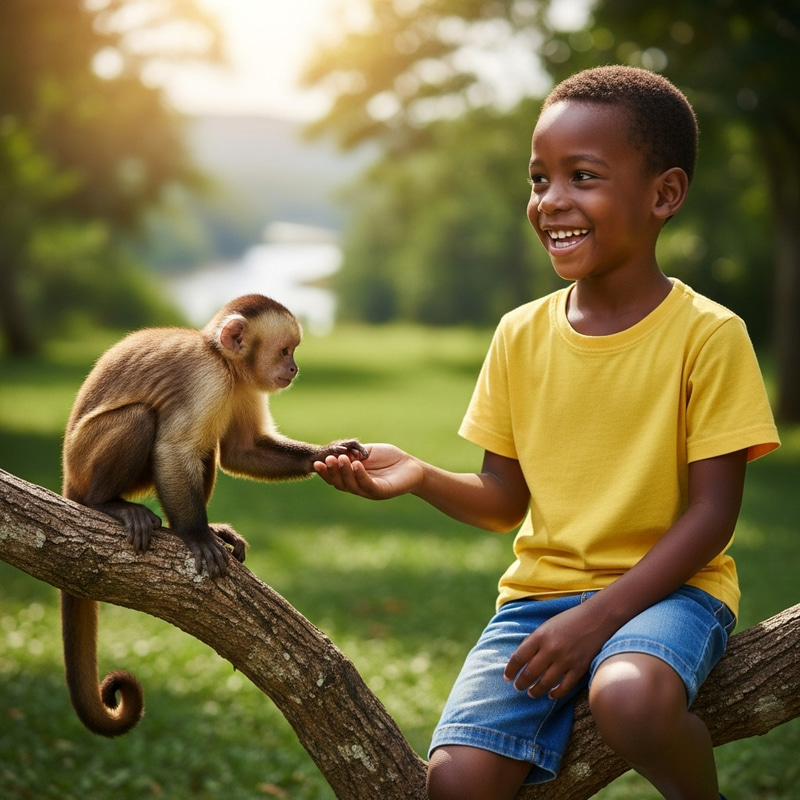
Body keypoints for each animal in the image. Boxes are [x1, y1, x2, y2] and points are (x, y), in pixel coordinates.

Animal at [60, 293, 368, 737]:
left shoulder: (242, 386)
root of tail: (69, 473)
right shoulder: (208, 381)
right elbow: (174, 450)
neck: (224, 362)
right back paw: (108, 505)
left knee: (207, 447)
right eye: (285, 351)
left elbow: (242, 451)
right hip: (85, 462)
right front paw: (196, 535)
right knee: (143, 419)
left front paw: (331, 454)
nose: (294, 368)